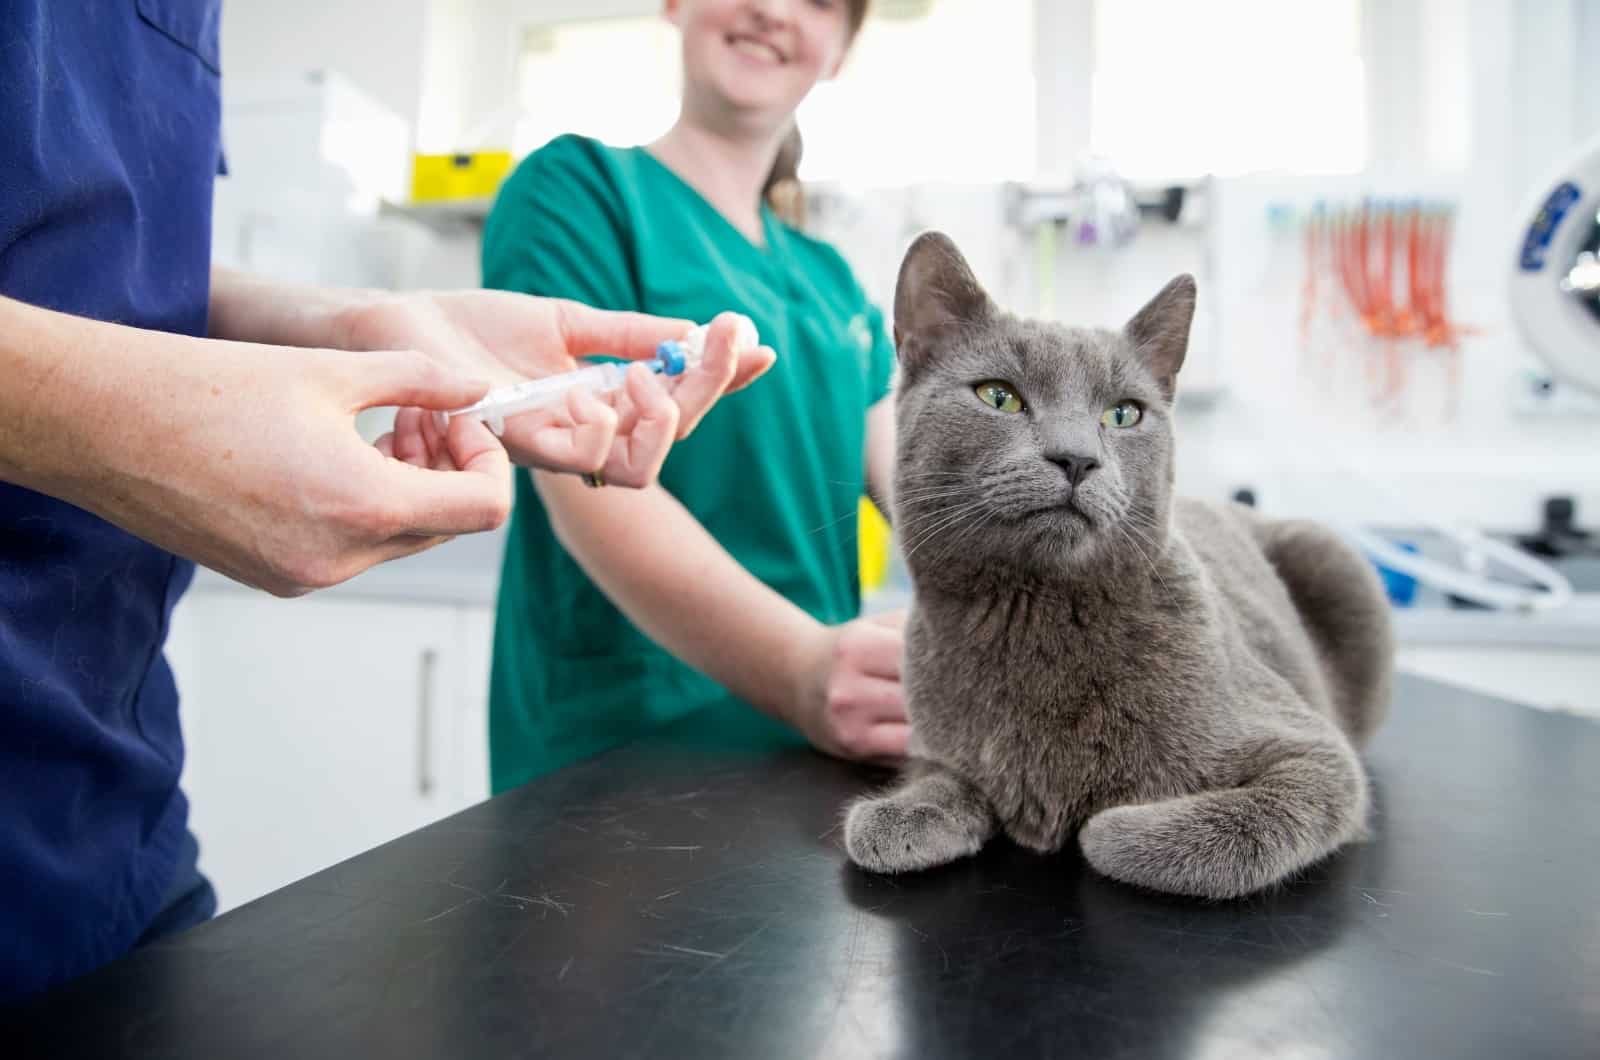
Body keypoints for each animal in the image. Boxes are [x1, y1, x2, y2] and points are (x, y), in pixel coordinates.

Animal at [844, 235, 1395, 903]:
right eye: (999, 396)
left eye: (1124, 414)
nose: (1077, 458)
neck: (1035, 622)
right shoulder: (936, 744)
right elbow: (934, 784)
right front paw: (898, 817)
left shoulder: (1314, 758)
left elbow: (1199, 834)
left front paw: (1107, 824)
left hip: (1335, 561)